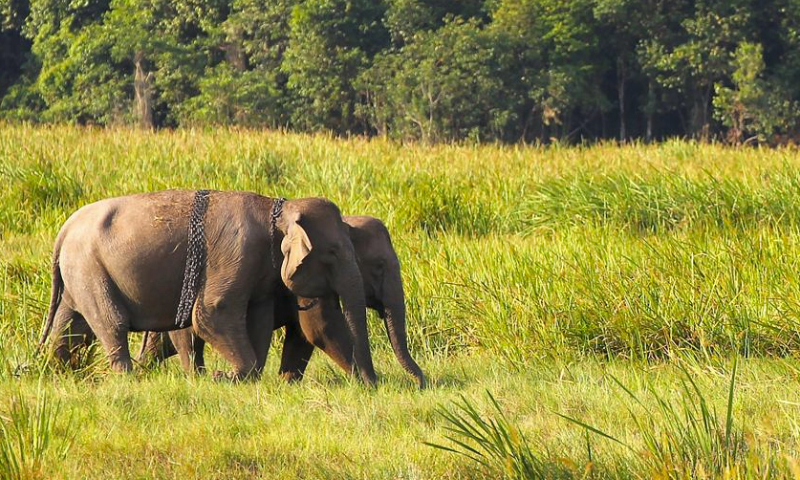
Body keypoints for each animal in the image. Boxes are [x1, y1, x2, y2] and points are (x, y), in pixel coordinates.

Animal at [36, 189, 376, 384]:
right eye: (333, 251)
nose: (372, 383)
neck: (277, 208)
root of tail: (64, 229)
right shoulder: (237, 251)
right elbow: (213, 312)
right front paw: (223, 376)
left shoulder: (259, 269)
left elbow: (257, 317)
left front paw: (242, 377)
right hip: (89, 267)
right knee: (111, 324)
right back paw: (127, 379)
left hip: (80, 273)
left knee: (70, 325)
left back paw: (57, 372)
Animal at [139, 216, 424, 388]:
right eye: (379, 266)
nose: (423, 383)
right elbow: (320, 328)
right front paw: (368, 383)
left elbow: (302, 334)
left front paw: (288, 382)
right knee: (188, 339)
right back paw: (195, 377)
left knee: (162, 343)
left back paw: (142, 370)